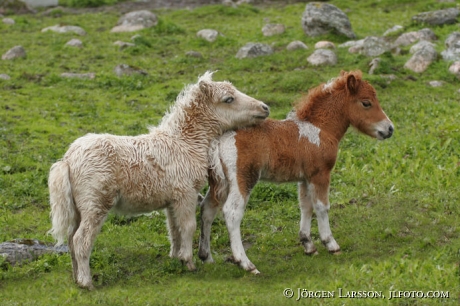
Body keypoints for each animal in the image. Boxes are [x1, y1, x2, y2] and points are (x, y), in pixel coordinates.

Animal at [47, 71, 270, 290]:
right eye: (228, 99)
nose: (265, 108)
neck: (184, 143)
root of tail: (68, 159)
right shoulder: (186, 194)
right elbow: (188, 226)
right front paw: (189, 263)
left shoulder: (172, 201)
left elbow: (174, 229)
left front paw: (176, 259)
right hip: (95, 205)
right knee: (81, 240)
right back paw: (87, 282)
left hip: (78, 208)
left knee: (71, 240)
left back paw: (76, 278)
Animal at [199, 70, 394, 274]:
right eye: (366, 103)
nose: (389, 129)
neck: (320, 129)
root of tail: (219, 140)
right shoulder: (320, 174)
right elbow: (322, 206)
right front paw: (331, 244)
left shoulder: (305, 178)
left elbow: (305, 206)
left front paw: (308, 245)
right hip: (243, 179)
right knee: (232, 212)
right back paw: (246, 263)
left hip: (219, 183)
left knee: (207, 209)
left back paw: (206, 257)